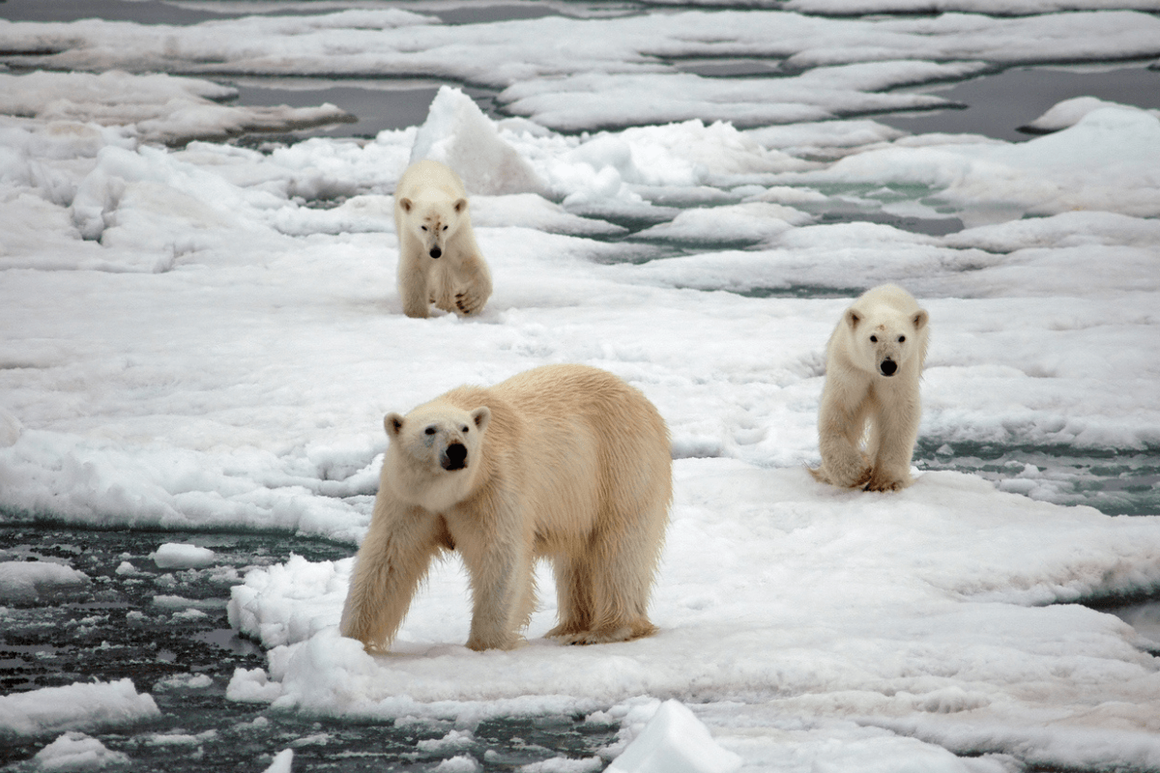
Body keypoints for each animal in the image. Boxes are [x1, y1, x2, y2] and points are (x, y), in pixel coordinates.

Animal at [340, 364, 672, 652]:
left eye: (465, 429)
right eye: (429, 430)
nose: (457, 451)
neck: (451, 492)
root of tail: (643, 401)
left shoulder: (493, 487)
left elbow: (499, 555)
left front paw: (484, 645)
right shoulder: (409, 500)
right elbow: (388, 559)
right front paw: (351, 640)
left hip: (620, 465)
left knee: (619, 548)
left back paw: (604, 630)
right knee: (576, 558)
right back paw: (568, 627)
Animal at [393, 159, 492, 318]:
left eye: (445, 227)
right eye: (423, 227)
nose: (435, 252)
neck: (432, 187)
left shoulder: (457, 233)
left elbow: (468, 261)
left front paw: (468, 302)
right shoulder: (412, 237)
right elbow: (414, 269)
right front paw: (417, 314)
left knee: (446, 271)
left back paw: (445, 303)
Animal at [810, 284, 930, 492]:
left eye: (901, 337)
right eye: (873, 337)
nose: (888, 365)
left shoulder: (902, 374)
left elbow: (900, 411)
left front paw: (886, 481)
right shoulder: (850, 368)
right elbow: (838, 410)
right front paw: (856, 473)